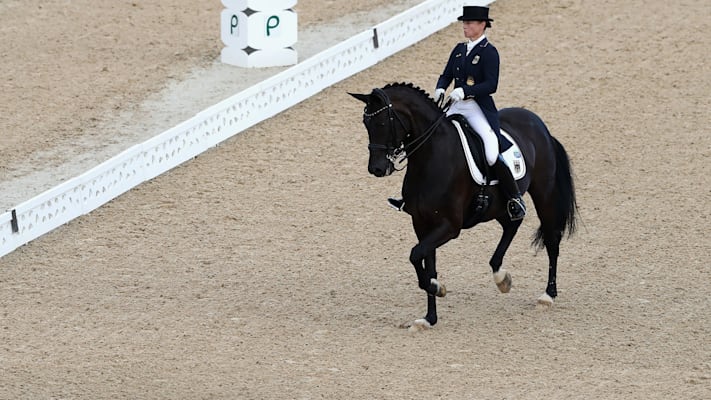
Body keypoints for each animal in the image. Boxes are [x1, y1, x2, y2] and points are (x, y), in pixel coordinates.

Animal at [349, 82, 578, 330]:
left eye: (382, 123)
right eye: (366, 124)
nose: (377, 169)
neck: (430, 157)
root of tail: (537, 122)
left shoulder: (449, 227)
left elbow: (415, 254)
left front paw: (438, 288)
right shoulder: (422, 223)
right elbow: (426, 264)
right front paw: (430, 317)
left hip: (543, 193)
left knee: (551, 239)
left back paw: (548, 295)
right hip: (498, 205)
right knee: (511, 224)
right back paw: (501, 277)